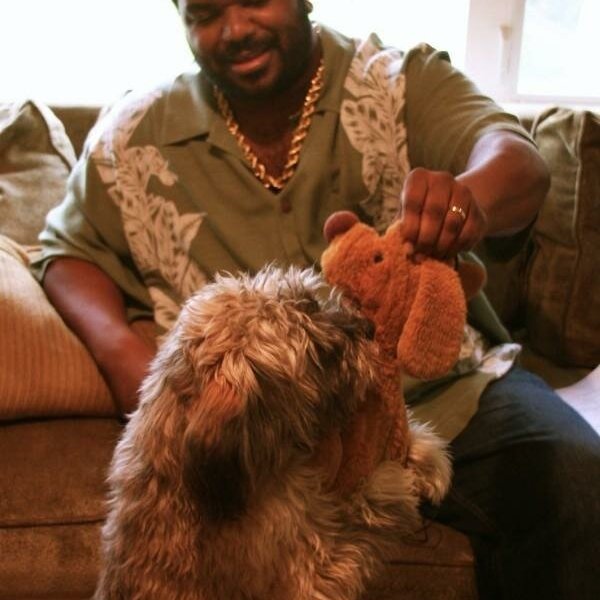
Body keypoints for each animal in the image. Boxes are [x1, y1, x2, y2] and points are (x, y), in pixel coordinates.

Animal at [94, 265, 451, 600]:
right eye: (322, 354)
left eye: (312, 302)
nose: (369, 328)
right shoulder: (310, 577)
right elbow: (360, 513)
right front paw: (391, 480)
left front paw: (426, 457)